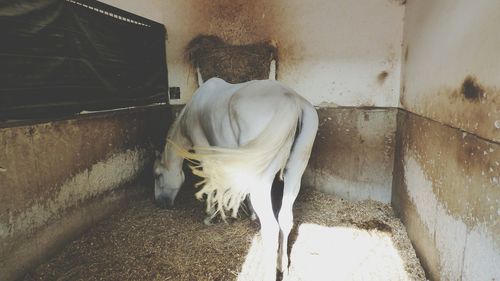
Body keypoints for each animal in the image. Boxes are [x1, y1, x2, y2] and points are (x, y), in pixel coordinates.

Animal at [153, 77, 316, 278]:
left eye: (157, 175)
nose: (160, 203)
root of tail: (293, 100)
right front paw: (250, 213)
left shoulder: (205, 151)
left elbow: (212, 180)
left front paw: (210, 215)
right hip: (294, 174)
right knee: (285, 219)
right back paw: (282, 265)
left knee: (271, 228)